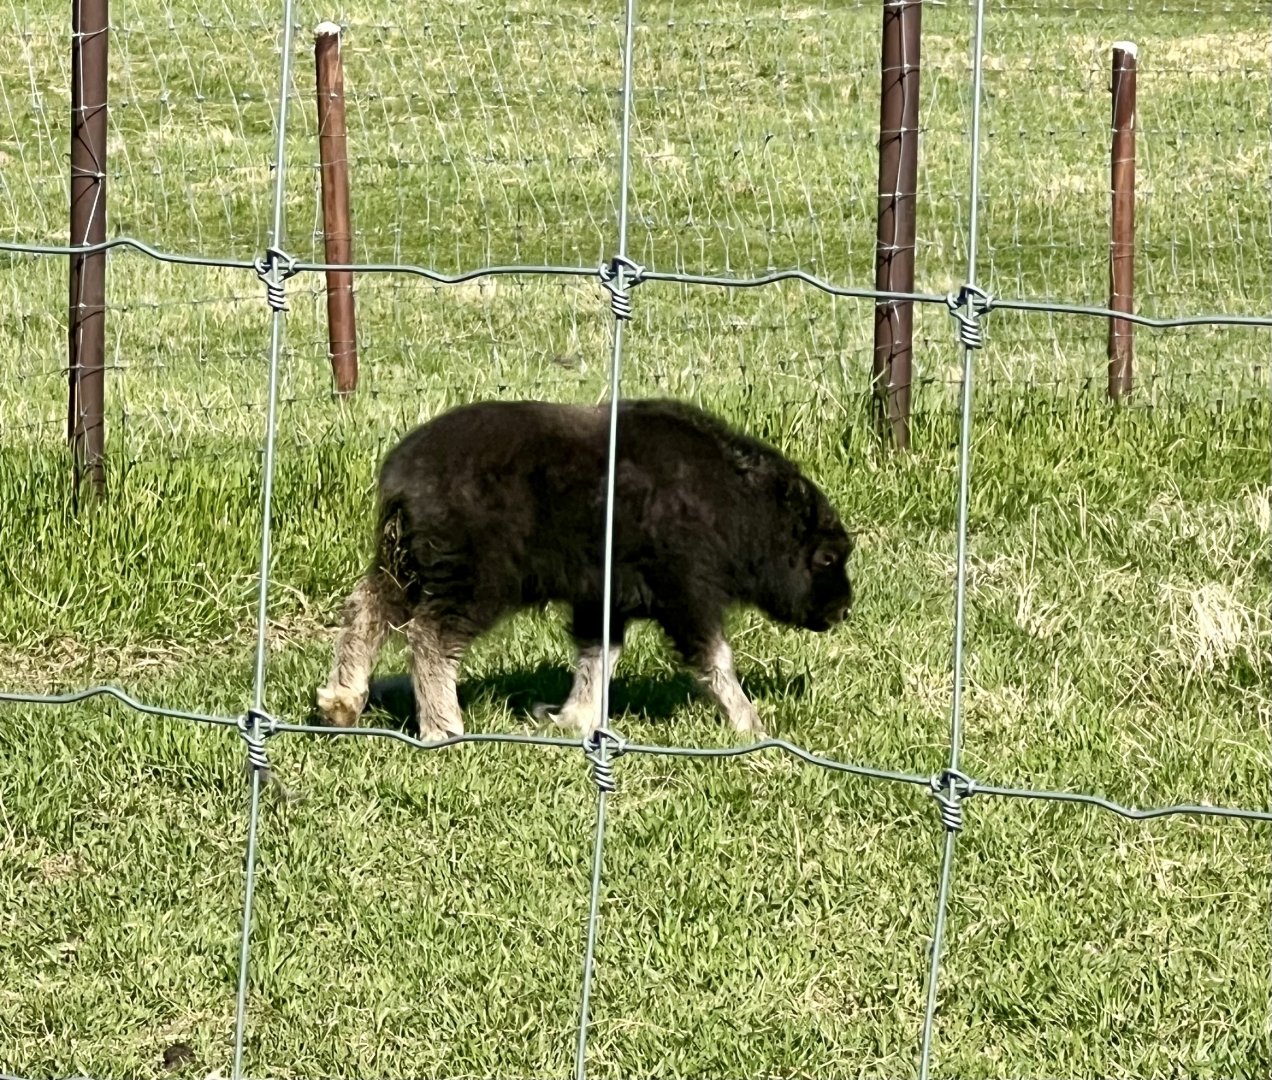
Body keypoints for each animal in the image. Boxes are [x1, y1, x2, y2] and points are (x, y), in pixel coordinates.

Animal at [315, 398, 855, 741]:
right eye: (827, 557)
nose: (844, 609)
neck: (736, 503)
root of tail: (402, 474)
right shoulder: (686, 594)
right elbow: (715, 658)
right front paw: (751, 724)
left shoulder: (605, 599)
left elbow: (599, 656)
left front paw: (569, 718)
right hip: (471, 581)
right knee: (430, 637)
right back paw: (443, 727)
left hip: (403, 566)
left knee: (366, 609)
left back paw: (342, 702)